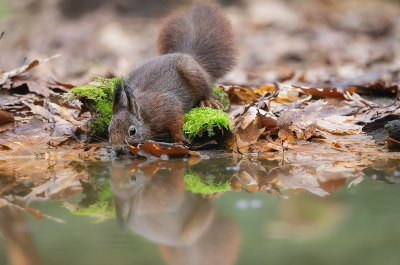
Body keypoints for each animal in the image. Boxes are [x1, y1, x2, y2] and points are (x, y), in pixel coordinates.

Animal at [108, 2, 236, 153]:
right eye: (109, 130)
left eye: (132, 131)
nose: (118, 149)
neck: (144, 114)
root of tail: (187, 55)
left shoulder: (166, 106)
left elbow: (175, 121)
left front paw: (179, 138)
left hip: (192, 72)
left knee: (206, 89)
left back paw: (207, 101)